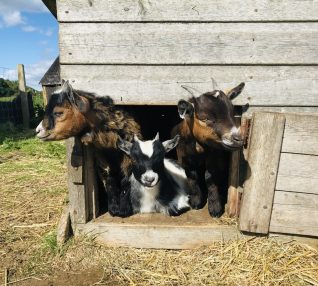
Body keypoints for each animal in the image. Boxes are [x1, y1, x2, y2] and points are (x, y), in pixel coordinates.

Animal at [35, 80, 141, 217]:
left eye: (58, 113)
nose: (38, 131)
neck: (111, 150)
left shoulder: (130, 160)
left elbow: (125, 181)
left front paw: (124, 210)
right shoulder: (102, 162)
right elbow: (109, 181)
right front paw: (113, 209)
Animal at [171, 82, 246, 217]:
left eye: (232, 114)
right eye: (205, 118)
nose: (238, 139)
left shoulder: (215, 157)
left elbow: (209, 177)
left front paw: (215, 208)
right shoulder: (183, 157)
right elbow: (192, 176)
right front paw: (195, 202)